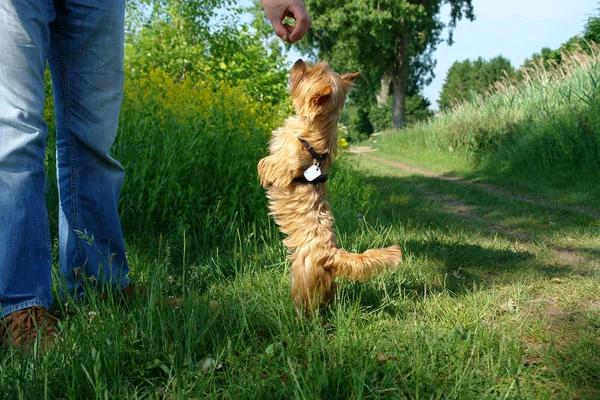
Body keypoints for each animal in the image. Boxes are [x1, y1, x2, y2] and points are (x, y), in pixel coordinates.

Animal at [258, 60, 404, 316]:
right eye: (317, 65)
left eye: (310, 72)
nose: (298, 60)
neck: (315, 136)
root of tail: (331, 257)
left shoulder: (283, 166)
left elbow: (269, 164)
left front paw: (262, 172)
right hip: (327, 284)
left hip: (302, 278)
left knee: (306, 303)